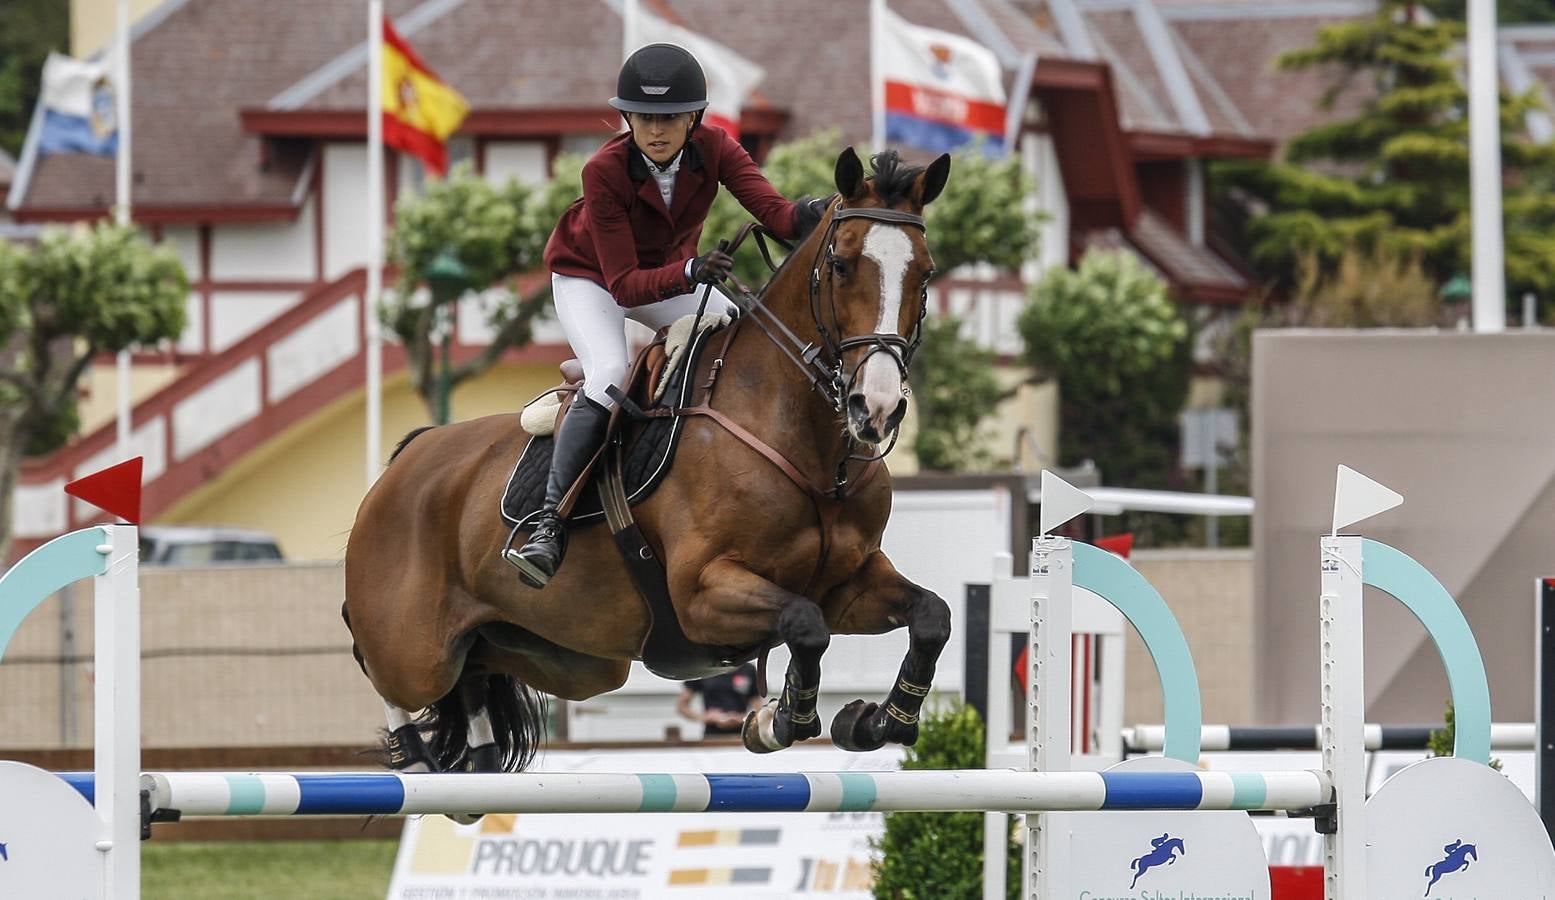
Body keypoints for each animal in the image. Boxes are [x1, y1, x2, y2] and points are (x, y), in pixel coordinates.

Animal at [345, 146, 957, 774]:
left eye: (926, 272)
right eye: (840, 265)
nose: (875, 407)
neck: (811, 449)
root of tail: (408, 458)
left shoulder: (848, 584)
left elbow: (931, 616)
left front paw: (877, 721)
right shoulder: (702, 592)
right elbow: (805, 626)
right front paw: (779, 719)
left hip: (562, 655)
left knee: (475, 674)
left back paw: (476, 758)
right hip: (414, 648)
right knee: (379, 662)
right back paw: (412, 756)